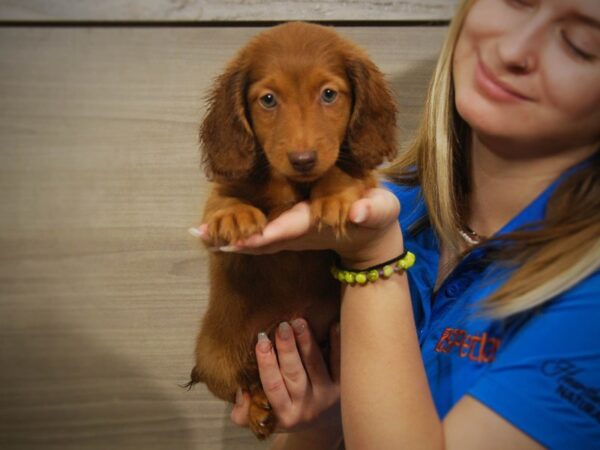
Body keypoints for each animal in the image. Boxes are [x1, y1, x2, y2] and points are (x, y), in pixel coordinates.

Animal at [189, 22, 398, 440]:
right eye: (268, 100)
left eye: (329, 94)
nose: (303, 160)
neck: (292, 186)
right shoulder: (222, 189)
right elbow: (222, 201)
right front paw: (233, 216)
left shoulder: (360, 175)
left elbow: (341, 171)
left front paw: (333, 197)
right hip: (216, 356)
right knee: (241, 384)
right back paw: (259, 409)